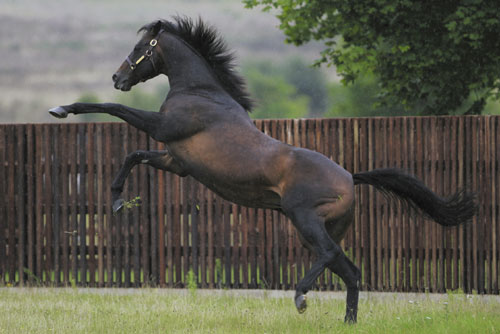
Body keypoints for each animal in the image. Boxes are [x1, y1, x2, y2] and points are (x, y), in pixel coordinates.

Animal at [49, 16, 476, 324]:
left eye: (140, 48)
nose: (118, 78)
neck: (201, 92)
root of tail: (350, 178)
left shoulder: (162, 128)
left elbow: (113, 110)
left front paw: (62, 108)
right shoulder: (177, 162)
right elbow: (134, 155)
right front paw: (117, 201)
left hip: (305, 220)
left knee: (329, 256)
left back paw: (301, 296)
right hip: (321, 227)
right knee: (350, 271)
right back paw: (348, 321)